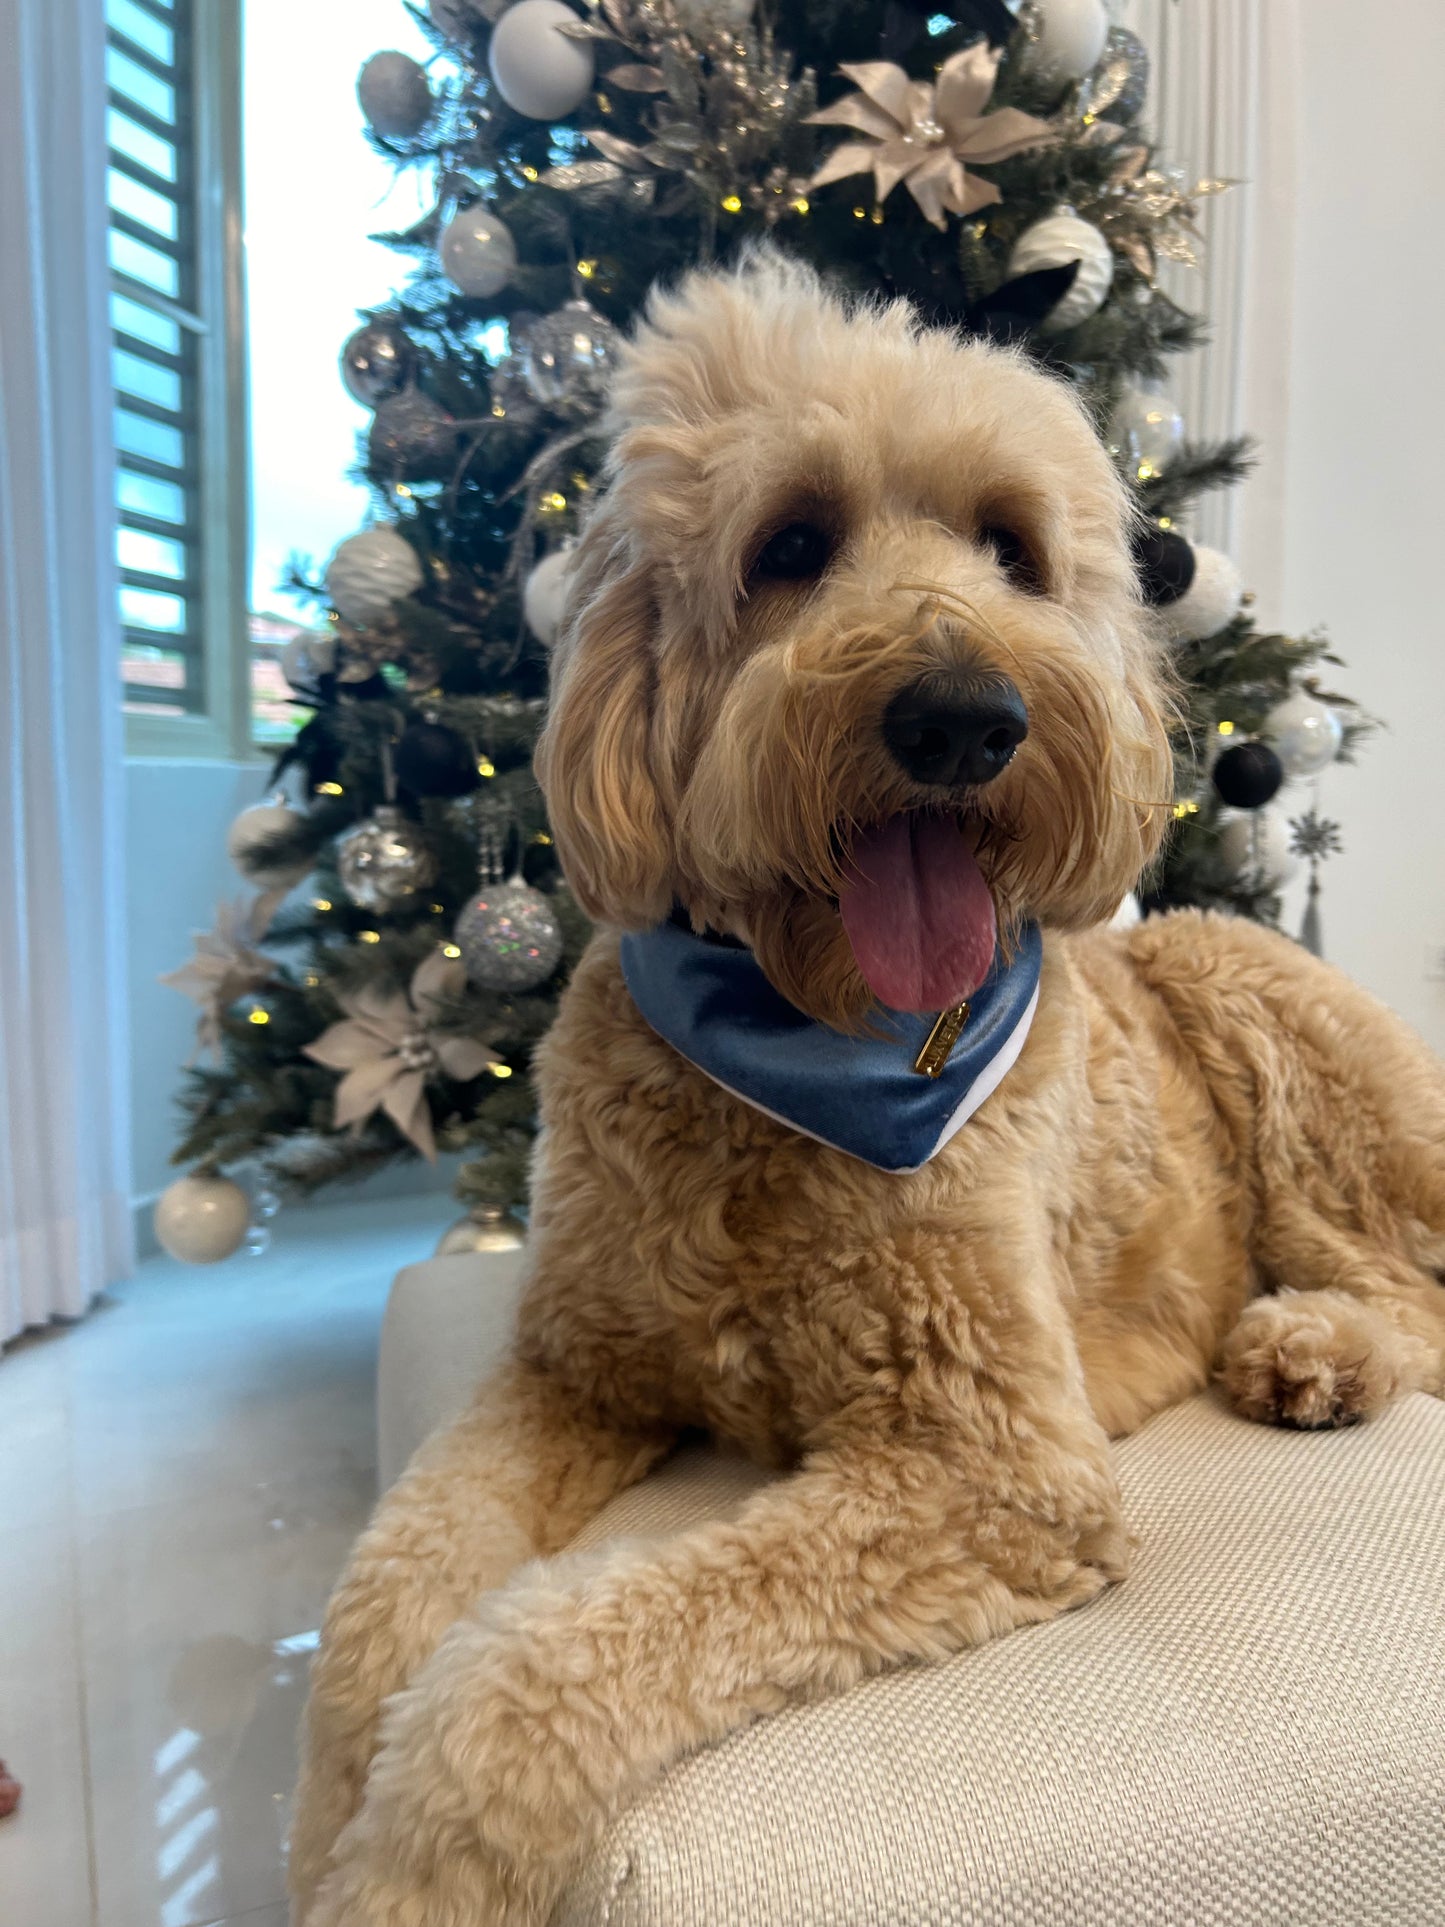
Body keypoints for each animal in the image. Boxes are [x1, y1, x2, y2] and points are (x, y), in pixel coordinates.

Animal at [285, 256, 1445, 1927]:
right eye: (789, 544)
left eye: (1012, 548)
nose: (964, 717)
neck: (797, 1049)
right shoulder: (568, 1370)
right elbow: (388, 1590)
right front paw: (327, 1818)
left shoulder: (992, 1464)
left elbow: (525, 1665)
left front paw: (406, 1872)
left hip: (1274, 1031)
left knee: (1412, 1281)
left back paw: (1313, 1345)